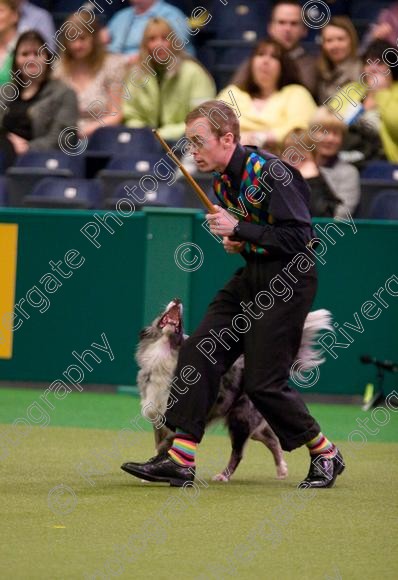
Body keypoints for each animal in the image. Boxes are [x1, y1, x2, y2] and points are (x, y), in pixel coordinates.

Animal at [135, 300, 332, 480]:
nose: (177, 300)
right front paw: (153, 467)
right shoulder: (157, 417)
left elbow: (168, 442)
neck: (164, 356)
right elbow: (160, 445)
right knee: (271, 438)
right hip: (252, 424)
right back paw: (281, 469)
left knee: (239, 453)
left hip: (241, 420)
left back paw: (224, 476)